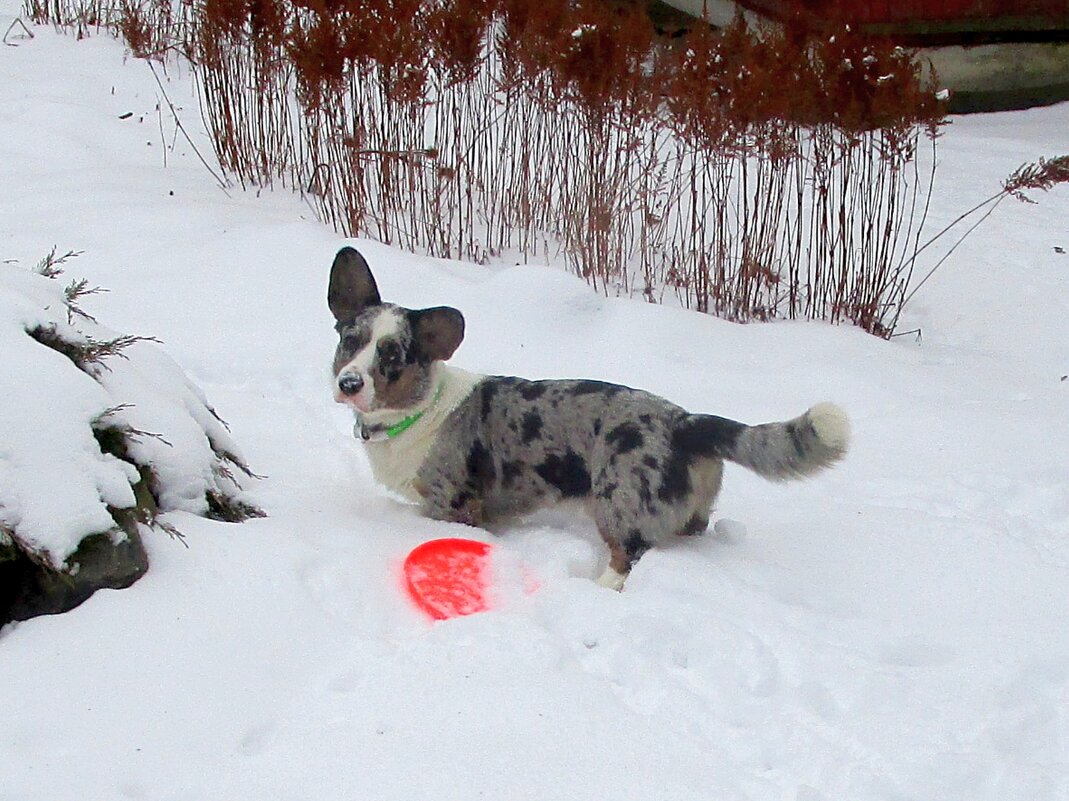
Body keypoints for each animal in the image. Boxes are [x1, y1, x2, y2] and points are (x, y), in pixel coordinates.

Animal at [329, 247, 846, 590]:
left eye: (392, 355)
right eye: (350, 340)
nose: (348, 384)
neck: (415, 412)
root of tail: (685, 422)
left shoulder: (451, 504)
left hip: (617, 500)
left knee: (627, 555)